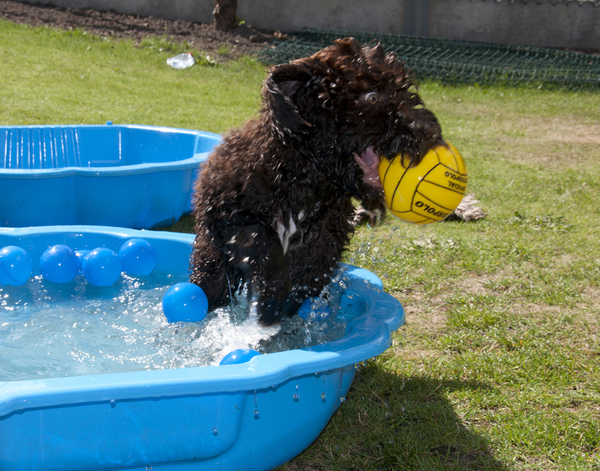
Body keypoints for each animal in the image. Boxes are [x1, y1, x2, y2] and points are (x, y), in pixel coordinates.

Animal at [192, 37, 446, 324]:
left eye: (403, 90)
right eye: (371, 96)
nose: (429, 133)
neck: (301, 177)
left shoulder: (321, 247)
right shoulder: (231, 216)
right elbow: (263, 242)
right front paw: (271, 294)